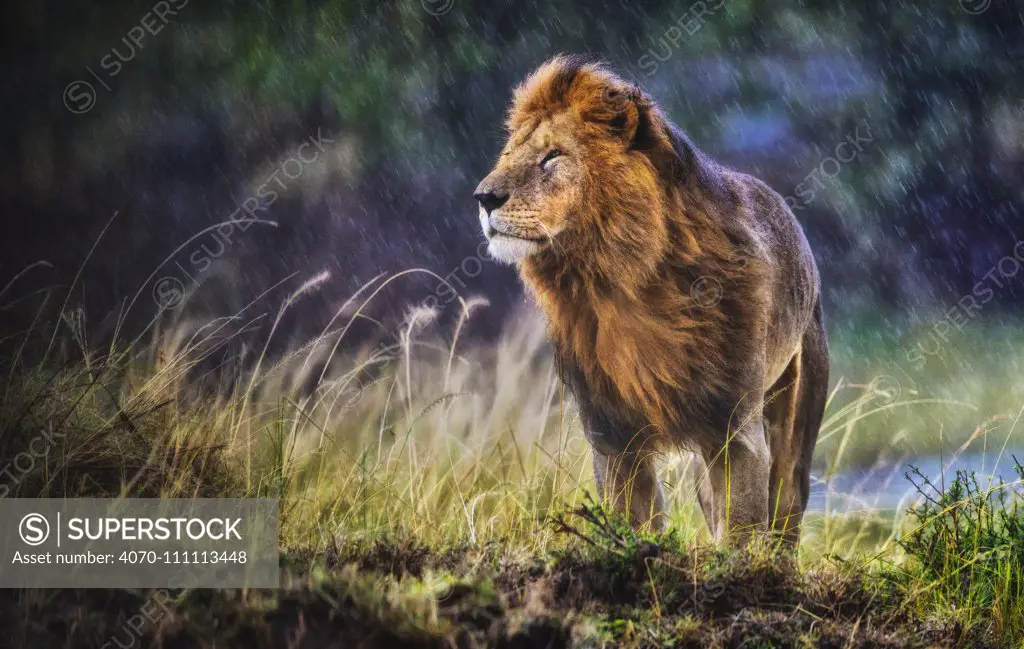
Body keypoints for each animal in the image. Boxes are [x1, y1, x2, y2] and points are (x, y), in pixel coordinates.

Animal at [475, 55, 827, 544]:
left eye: (553, 156)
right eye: (509, 155)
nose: (484, 198)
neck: (620, 281)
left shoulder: (735, 430)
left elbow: (743, 528)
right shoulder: (611, 434)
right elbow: (631, 523)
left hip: (793, 417)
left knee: (786, 508)